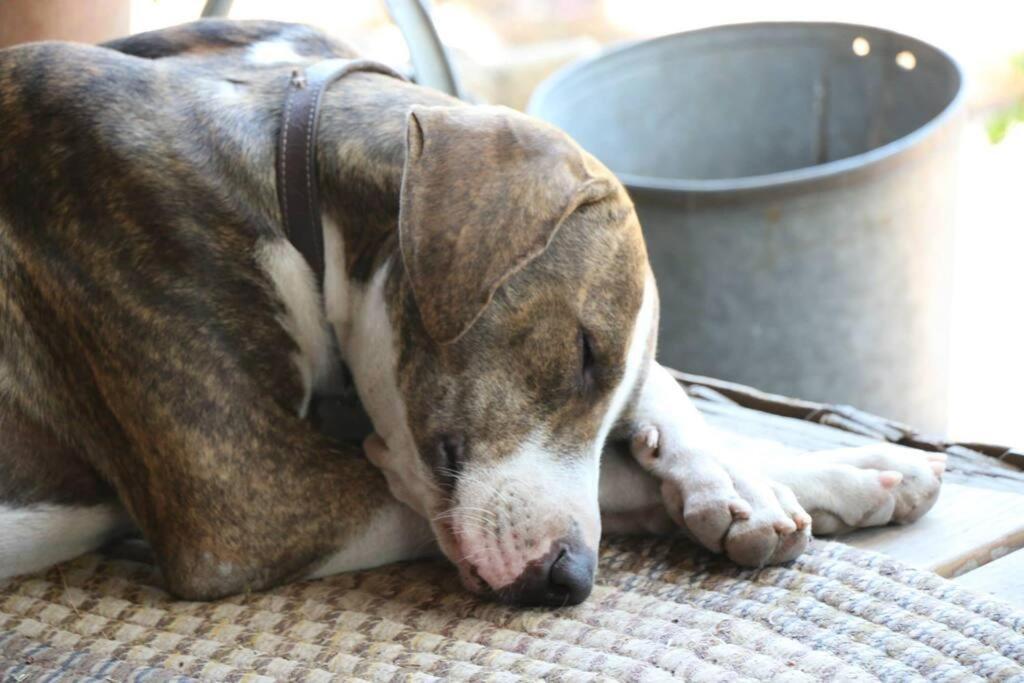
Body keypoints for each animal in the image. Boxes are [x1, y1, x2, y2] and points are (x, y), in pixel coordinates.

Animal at [0, 21, 942, 606]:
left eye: (607, 381)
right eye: (582, 351)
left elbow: (655, 413)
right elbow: (577, 483)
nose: (570, 579)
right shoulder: (247, 503)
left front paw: (797, 474)